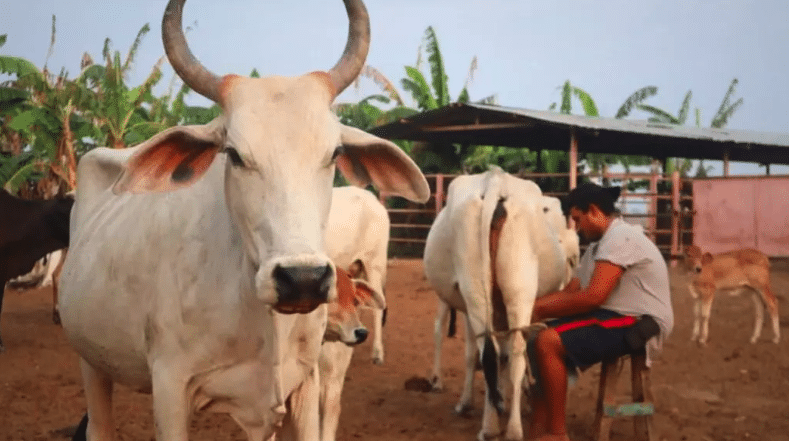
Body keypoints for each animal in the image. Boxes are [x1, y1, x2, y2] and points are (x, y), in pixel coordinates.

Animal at [60, 0, 430, 440]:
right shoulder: (170, 389)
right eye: (234, 154)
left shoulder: (302, 385)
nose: (302, 279)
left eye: (335, 153)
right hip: (90, 359)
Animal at [424, 168, 580, 440]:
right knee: (511, 353)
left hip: (478, 292)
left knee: (490, 352)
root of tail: (495, 181)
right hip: (519, 291)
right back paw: (512, 427)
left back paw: (491, 426)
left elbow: (473, 355)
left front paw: (468, 403)